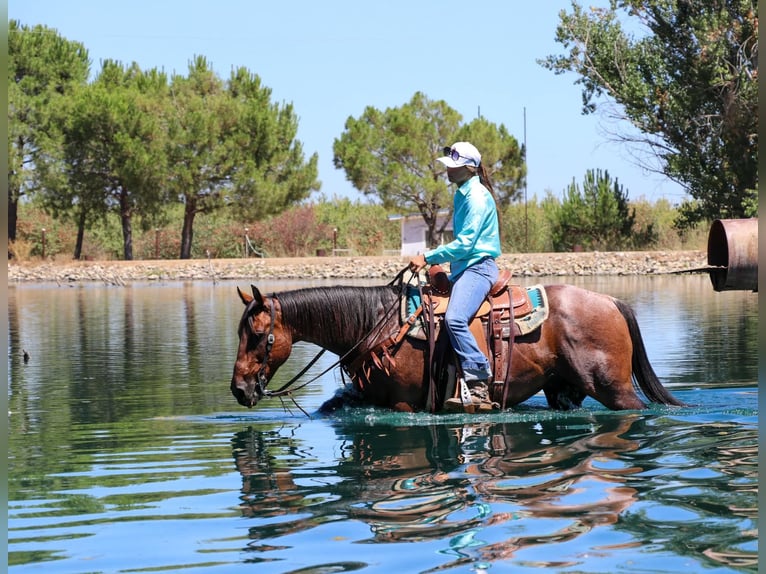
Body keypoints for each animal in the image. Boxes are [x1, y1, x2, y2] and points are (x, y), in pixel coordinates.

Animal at [230, 279, 685, 413]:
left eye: (260, 335)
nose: (238, 388)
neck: (376, 326)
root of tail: (610, 300)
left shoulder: (403, 405)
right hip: (563, 390)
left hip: (614, 389)